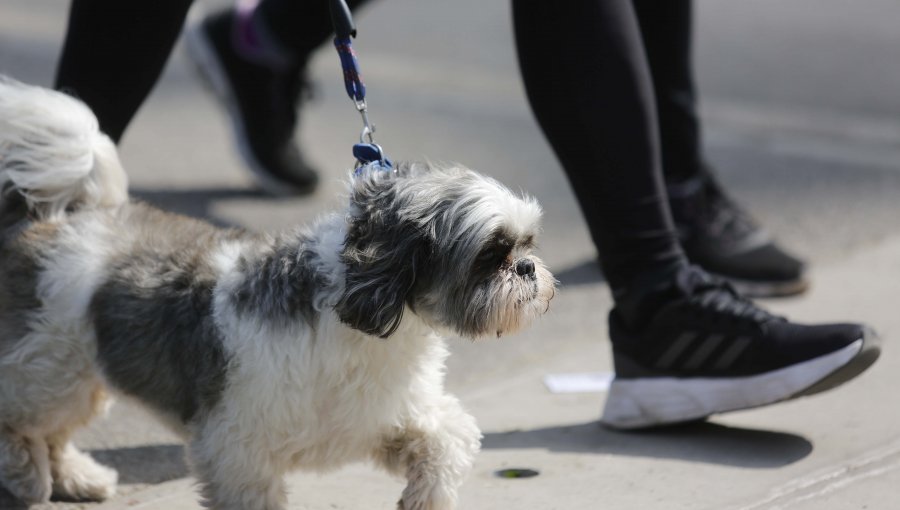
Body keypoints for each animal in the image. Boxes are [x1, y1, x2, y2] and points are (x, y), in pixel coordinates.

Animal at [0, 77, 556, 508]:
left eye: (527, 243)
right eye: (492, 253)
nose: (528, 267)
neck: (360, 319)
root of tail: (69, 219)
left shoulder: (381, 418)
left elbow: (449, 439)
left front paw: (428, 497)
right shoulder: (236, 450)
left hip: (73, 376)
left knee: (54, 431)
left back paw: (75, 477)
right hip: (50, 372)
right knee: (23, 423)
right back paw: (28, 476)